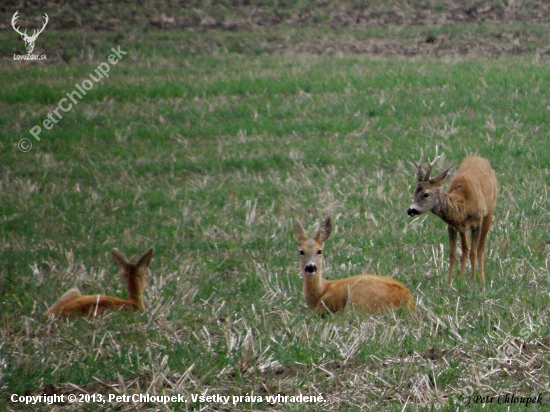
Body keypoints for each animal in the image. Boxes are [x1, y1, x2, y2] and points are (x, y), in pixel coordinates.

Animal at [406, 148, 500, 286]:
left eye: (426, 194)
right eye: (414, 192)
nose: (410, 210)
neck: (463, 204)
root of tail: (479, 158)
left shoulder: (477, 223)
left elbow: (474, 252)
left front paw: (473, 282)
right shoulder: (453, 226)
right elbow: (453, 253)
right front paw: (450, 283)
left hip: (490, 212)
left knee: (480, 249)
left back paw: (482, 281)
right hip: (462, 228)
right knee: (465, 249)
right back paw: (461, 278)